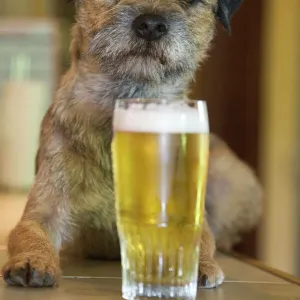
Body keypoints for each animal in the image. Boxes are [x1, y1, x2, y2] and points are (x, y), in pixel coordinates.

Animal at [1, 0, 262, 290]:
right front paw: (32, 259)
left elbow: (199, 238)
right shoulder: (43, 211)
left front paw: (197, 265)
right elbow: (29, 234)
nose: (150, 25)